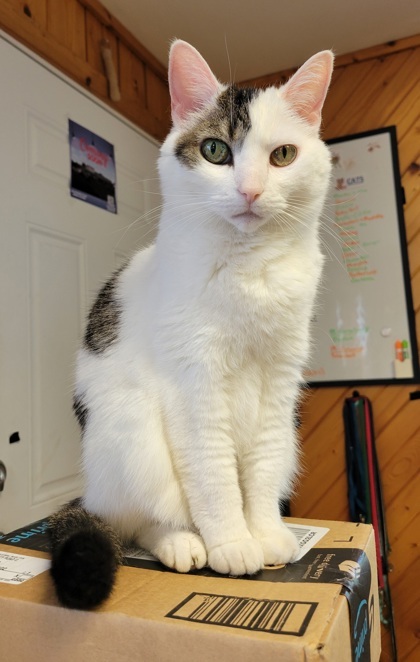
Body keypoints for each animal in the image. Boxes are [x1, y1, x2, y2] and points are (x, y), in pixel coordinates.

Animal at [49, 39, 334, 608]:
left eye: (283, 155)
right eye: (215, 151)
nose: (249, 190)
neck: (249, 269)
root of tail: (89, 490)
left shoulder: (279, 385)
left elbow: (260, 469)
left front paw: (265, 534)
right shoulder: (195, 384)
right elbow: (214, 475)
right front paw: (232, 544)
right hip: (130, 431)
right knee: (138, 521)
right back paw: (183, 543)